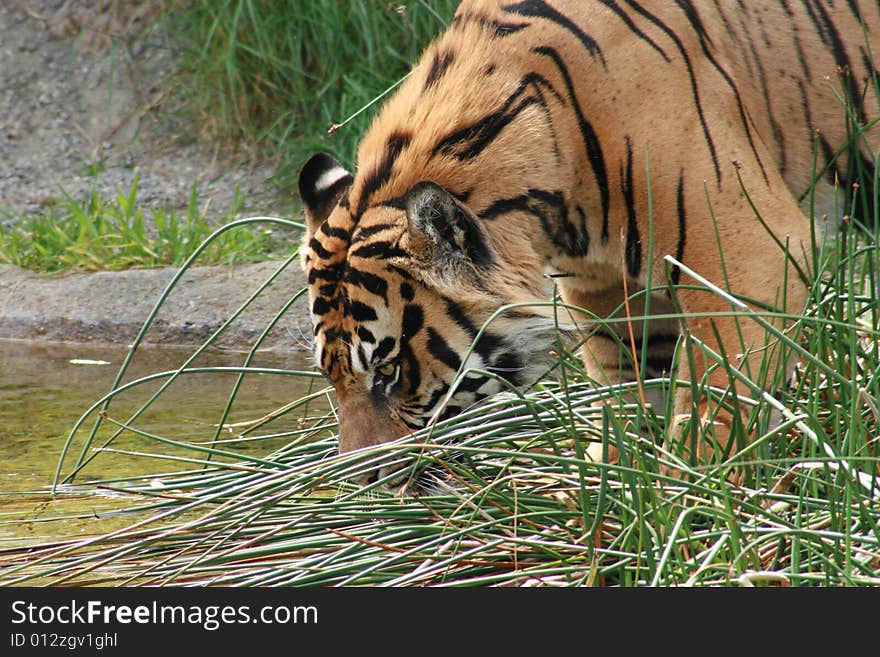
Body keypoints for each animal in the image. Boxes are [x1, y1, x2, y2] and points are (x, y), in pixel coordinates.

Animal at [298, 0, 880, 482]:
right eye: (331, 378)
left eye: (389, 372)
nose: (359, 484)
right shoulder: (605, 287)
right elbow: (626, 389)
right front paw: (616, 484)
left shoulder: (748, 258)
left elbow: (718, 399)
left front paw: (693, 495)